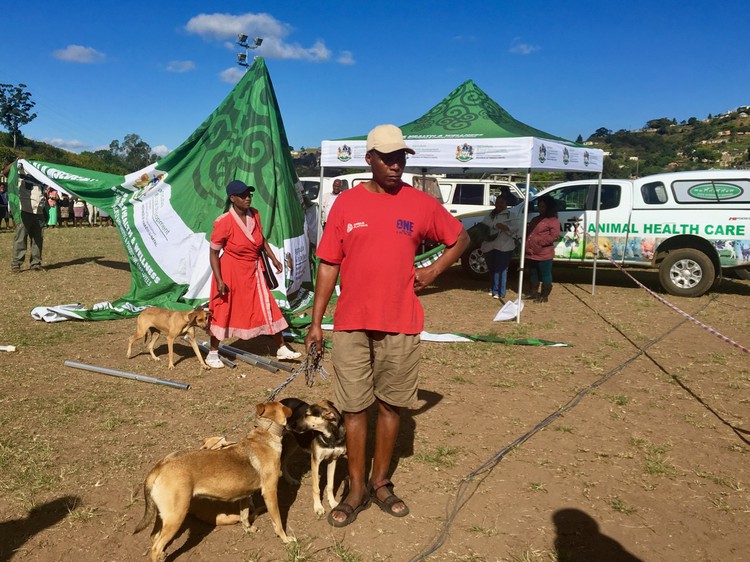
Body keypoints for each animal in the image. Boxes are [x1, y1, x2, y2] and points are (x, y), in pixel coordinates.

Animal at [137, 400, 296, 556]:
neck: (264, 435)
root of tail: (159, 466)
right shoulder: (270, 492)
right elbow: (278, 521)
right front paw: (286, 539)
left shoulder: (245, 495)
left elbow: (244, 515)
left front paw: (248, 529)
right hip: (176, 515)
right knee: (156, 547)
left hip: (162, 515)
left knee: (153, 537)